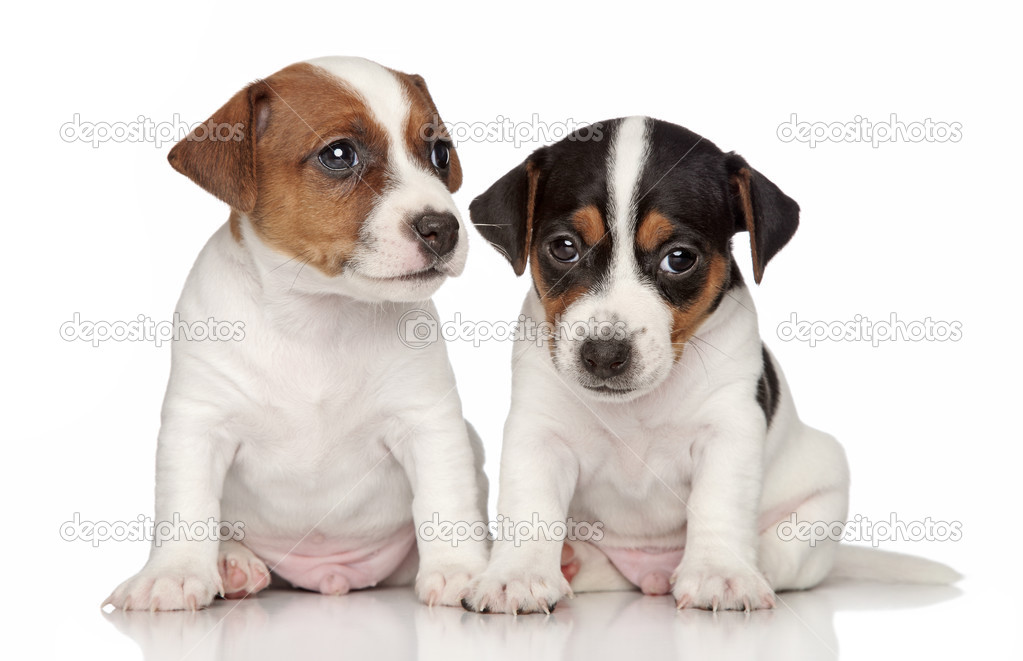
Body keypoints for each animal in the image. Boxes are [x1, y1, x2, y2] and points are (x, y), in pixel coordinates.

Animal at [104, 57, 491, 609]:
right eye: (339, 154)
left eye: (439, 153)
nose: (445, 228)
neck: (318, 314)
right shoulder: (198, 425)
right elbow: (186, 508)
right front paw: (174, 573)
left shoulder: (427, 422)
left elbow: (448, 500)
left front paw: (460, 569)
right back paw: (232, 564)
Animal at [464, 115, 957, 618]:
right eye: (564, 248)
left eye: (679, 258)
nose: (602, 354)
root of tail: (650, 573)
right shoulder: (538, 434)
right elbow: (530, 507)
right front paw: (518, 576)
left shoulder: (729, 430)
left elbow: (720, 502)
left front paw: (720, 574)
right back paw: (571, 562)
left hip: (823, 495)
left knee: (784, 557)